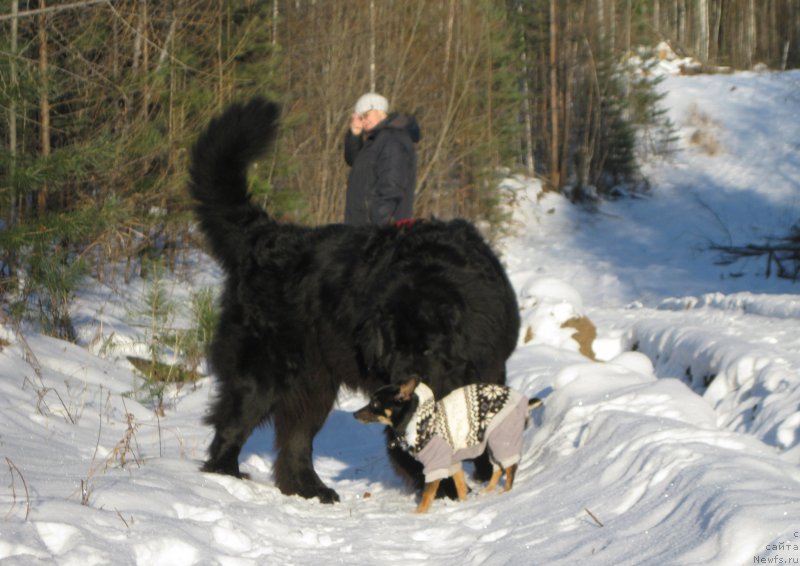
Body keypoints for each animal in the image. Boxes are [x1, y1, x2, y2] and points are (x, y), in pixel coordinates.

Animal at [191, 98, 520, 506]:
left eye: (427, 351)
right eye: (392, 352)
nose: (403, 387)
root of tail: (266, 237)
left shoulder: (490, 366)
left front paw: (485, 472)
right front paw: (444, 487)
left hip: (314, 381)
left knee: (296, 437)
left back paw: (310, 489)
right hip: (265, 370)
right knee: (234, 424)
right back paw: (225, 478)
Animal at [354, 378, 540, 516]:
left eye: (375, 404)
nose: (354, 414)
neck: (414, 421)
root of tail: (524, 400)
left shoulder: (435, 467)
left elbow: (427, 495)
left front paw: (418, 514)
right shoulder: (452, 462)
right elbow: (461, 486)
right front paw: (464, 504)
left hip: (501, 439)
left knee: (510, 468)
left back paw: (506, 493)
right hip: (491, 444)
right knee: (499, 468)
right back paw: (488, 491)